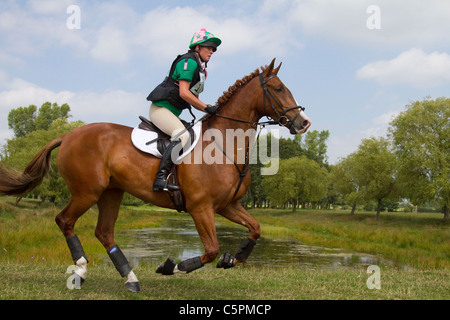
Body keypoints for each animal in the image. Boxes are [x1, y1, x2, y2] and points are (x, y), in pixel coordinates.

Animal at [0, 58, 310, 294]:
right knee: (65, 221)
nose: (303, 122)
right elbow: (210, 249)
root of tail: (68, 135)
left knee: (104, 232)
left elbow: (255, 229)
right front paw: (171, 266)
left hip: (112, 192)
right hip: (87, 191)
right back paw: (81, 270)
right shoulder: (200, 208)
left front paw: (231, 260)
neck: (223, 144)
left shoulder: (227, 205)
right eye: (278, 88)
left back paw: (131, 279)